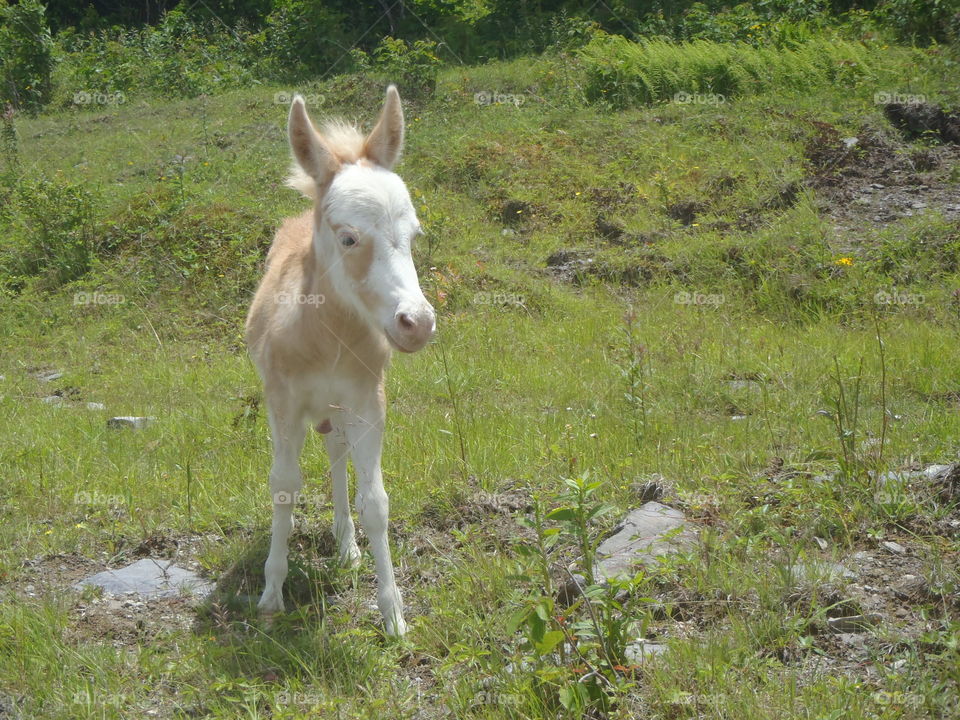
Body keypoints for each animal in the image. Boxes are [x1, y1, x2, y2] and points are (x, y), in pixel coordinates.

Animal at [244, 86, 436, 636]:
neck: (327, 338)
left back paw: (346, 544)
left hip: (337, 410)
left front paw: (393, 615)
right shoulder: (283, 401)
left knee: (336, 455)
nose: (417, 322)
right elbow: (284, 486)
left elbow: (377, 501)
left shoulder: (367, 400)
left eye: (414, 235)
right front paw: (271, 595)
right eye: (349, 237)